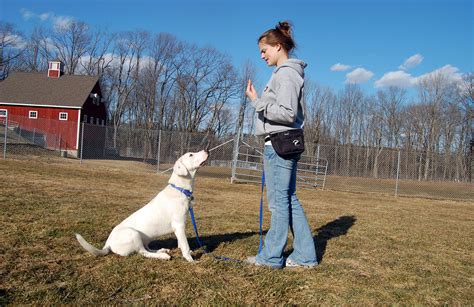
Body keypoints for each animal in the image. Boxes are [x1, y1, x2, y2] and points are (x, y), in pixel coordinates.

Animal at [75, 149, 208, 262]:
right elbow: (185, 245)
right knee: (143, 252)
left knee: (147, 248)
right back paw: (163, 256)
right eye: (190, 155)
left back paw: (161, 250)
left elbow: (181, 243)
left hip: (145, 238)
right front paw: (190, 259)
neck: (180, 189)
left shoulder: (180, 226)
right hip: (133, 234)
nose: (207, 150)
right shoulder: (179, 225)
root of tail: (108, 245)